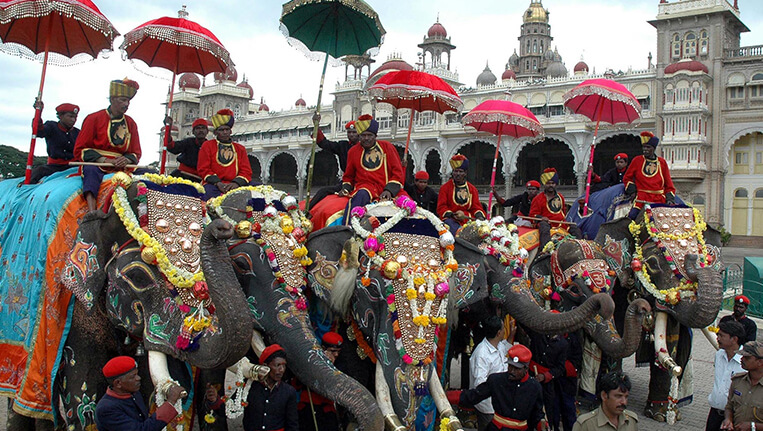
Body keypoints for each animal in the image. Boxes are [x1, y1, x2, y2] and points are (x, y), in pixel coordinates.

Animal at [528, 204, 724, 424]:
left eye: (706, 257)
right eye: (652, 264)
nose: (642, 308)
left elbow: (670, 338)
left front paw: (660, 414)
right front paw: (606, 397)